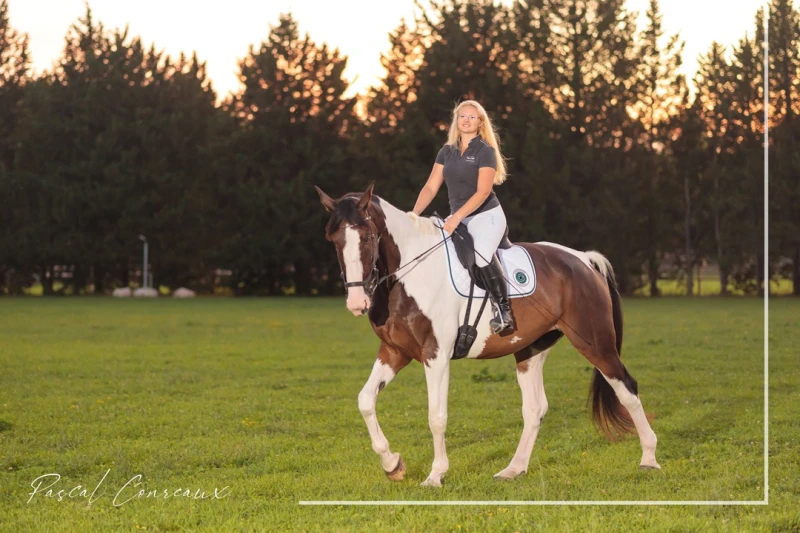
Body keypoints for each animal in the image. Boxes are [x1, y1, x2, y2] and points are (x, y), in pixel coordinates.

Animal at [315, 183, 660, 487]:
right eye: (333, 239)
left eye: (367, 237)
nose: (357, 303)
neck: (408, 276)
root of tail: (584, 259)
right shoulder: (393, 352)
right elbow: (365, 400)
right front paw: (393, 465)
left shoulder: (436, 355)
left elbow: (436, 416)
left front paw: (435, 476)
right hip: (531, 349)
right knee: (535, 409)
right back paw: (513, 470)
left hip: (594, 342)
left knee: (627, 389)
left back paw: (649, 459)